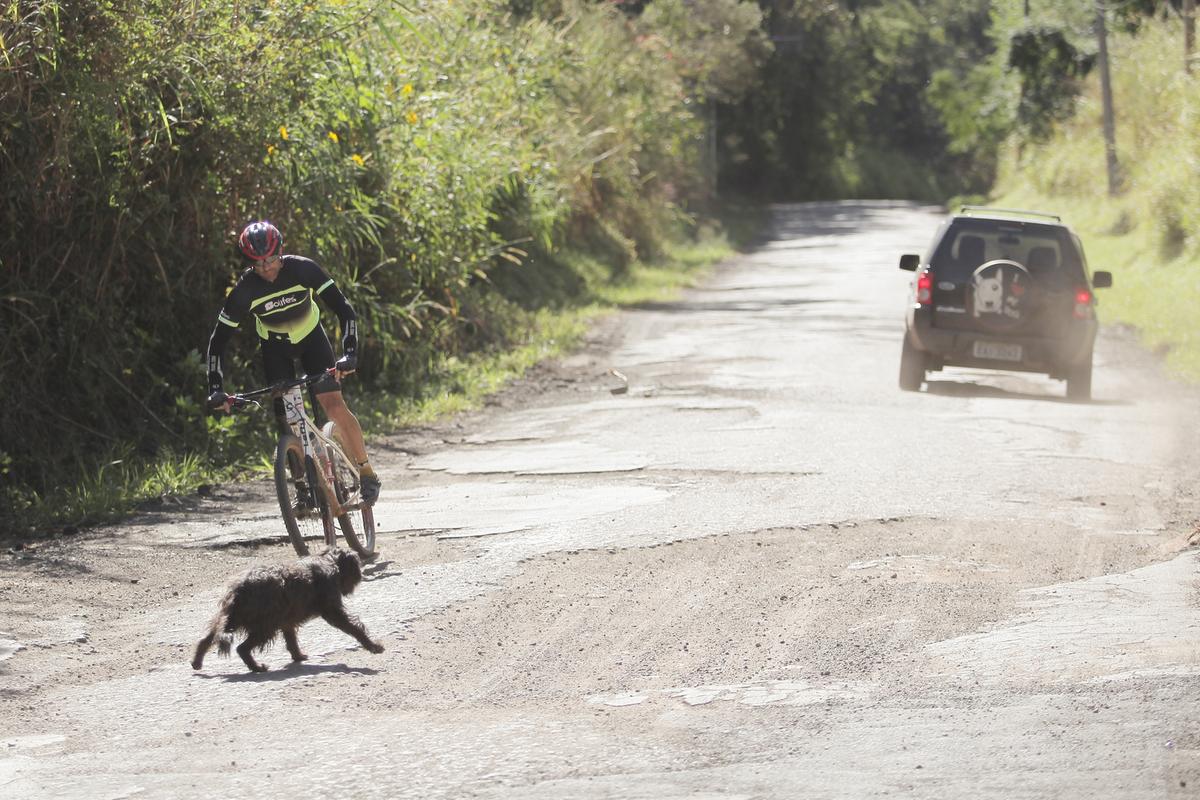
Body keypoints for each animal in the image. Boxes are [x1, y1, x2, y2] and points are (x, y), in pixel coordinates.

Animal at [192, 546, 381, 671]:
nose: (360, 577)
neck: (328, 561)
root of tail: (240, 589)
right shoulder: (332, 611)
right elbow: (355, 628)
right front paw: (373, 645)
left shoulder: (287, 621)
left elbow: (291, 640)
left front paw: (298, 656)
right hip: (265, 626)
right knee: (242, 648)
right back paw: (256, 667)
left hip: (231, 619)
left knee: (206, 639)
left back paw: (197, 662)